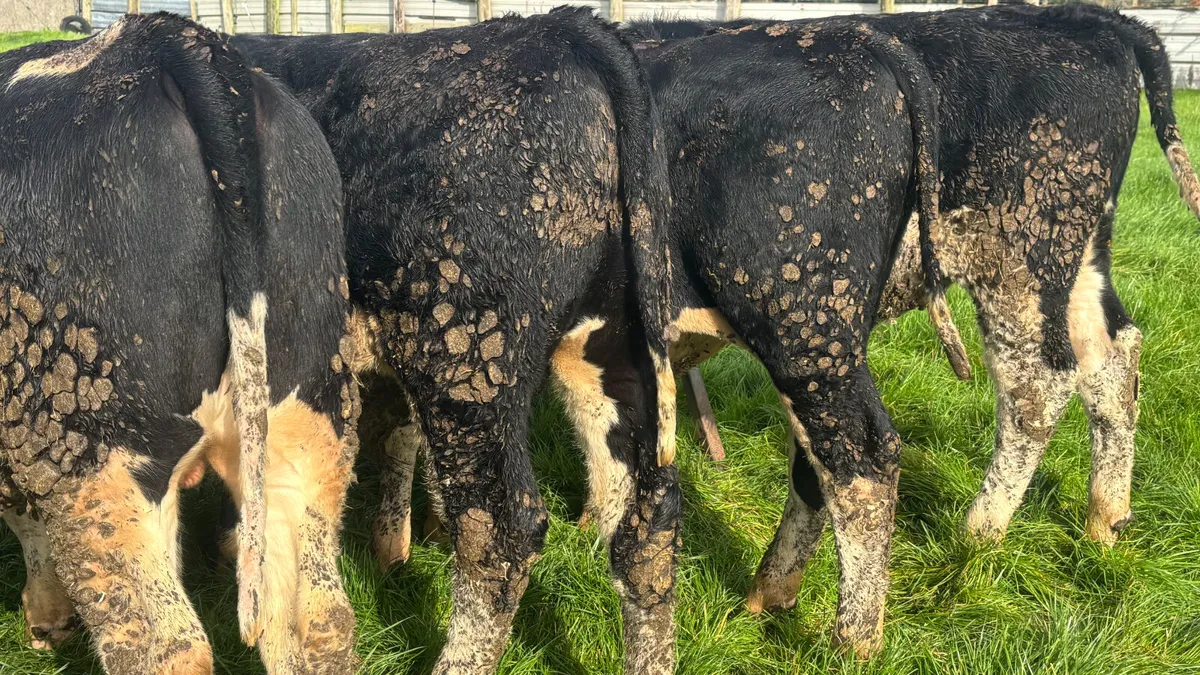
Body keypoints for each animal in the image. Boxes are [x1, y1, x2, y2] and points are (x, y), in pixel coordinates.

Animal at [0, 14, 359, 674]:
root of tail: (170, 39)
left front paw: (45, 617)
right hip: (308, 416)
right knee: (317, 621)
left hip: (90, 443)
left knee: (166, 645)